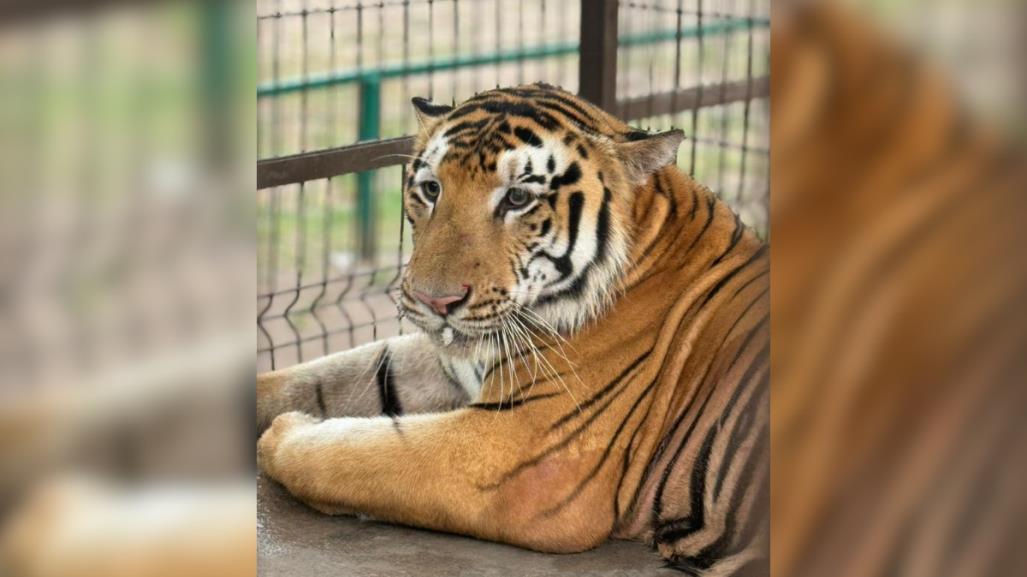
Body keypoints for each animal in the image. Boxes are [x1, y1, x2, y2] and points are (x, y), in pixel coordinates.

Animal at [256, 79, 772, 570]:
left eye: (518, 197)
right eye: (432, 189)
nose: (434, 300)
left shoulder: (520, 453)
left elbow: (350, 455)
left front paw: (286, 430)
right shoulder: (452, 363)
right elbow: (322, 376)